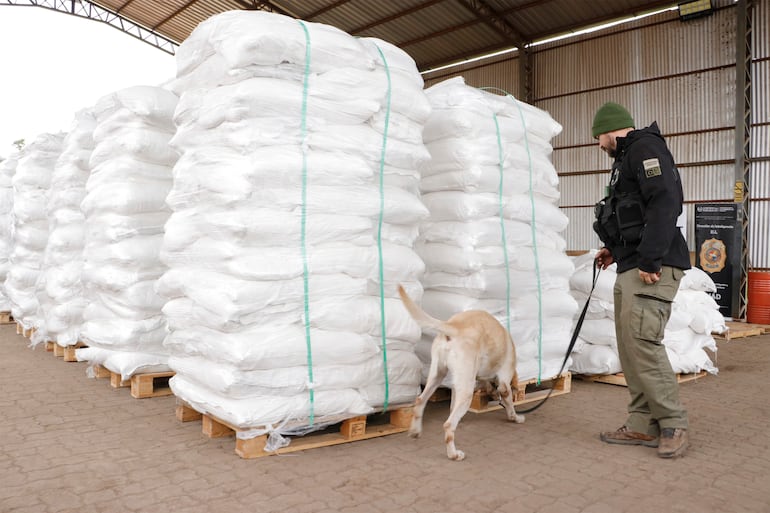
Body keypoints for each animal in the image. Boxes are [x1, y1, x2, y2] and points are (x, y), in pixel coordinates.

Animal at [396, 284, 520, 460]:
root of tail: (455, 326)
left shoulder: (458, 384)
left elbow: (452, 406)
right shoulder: (504, 381)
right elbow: (509, 402)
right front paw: (515, 417)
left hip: (437, 374)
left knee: (420, 400)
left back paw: (415, 431)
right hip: (466, 391)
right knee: (448, 425)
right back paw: (454, 454)